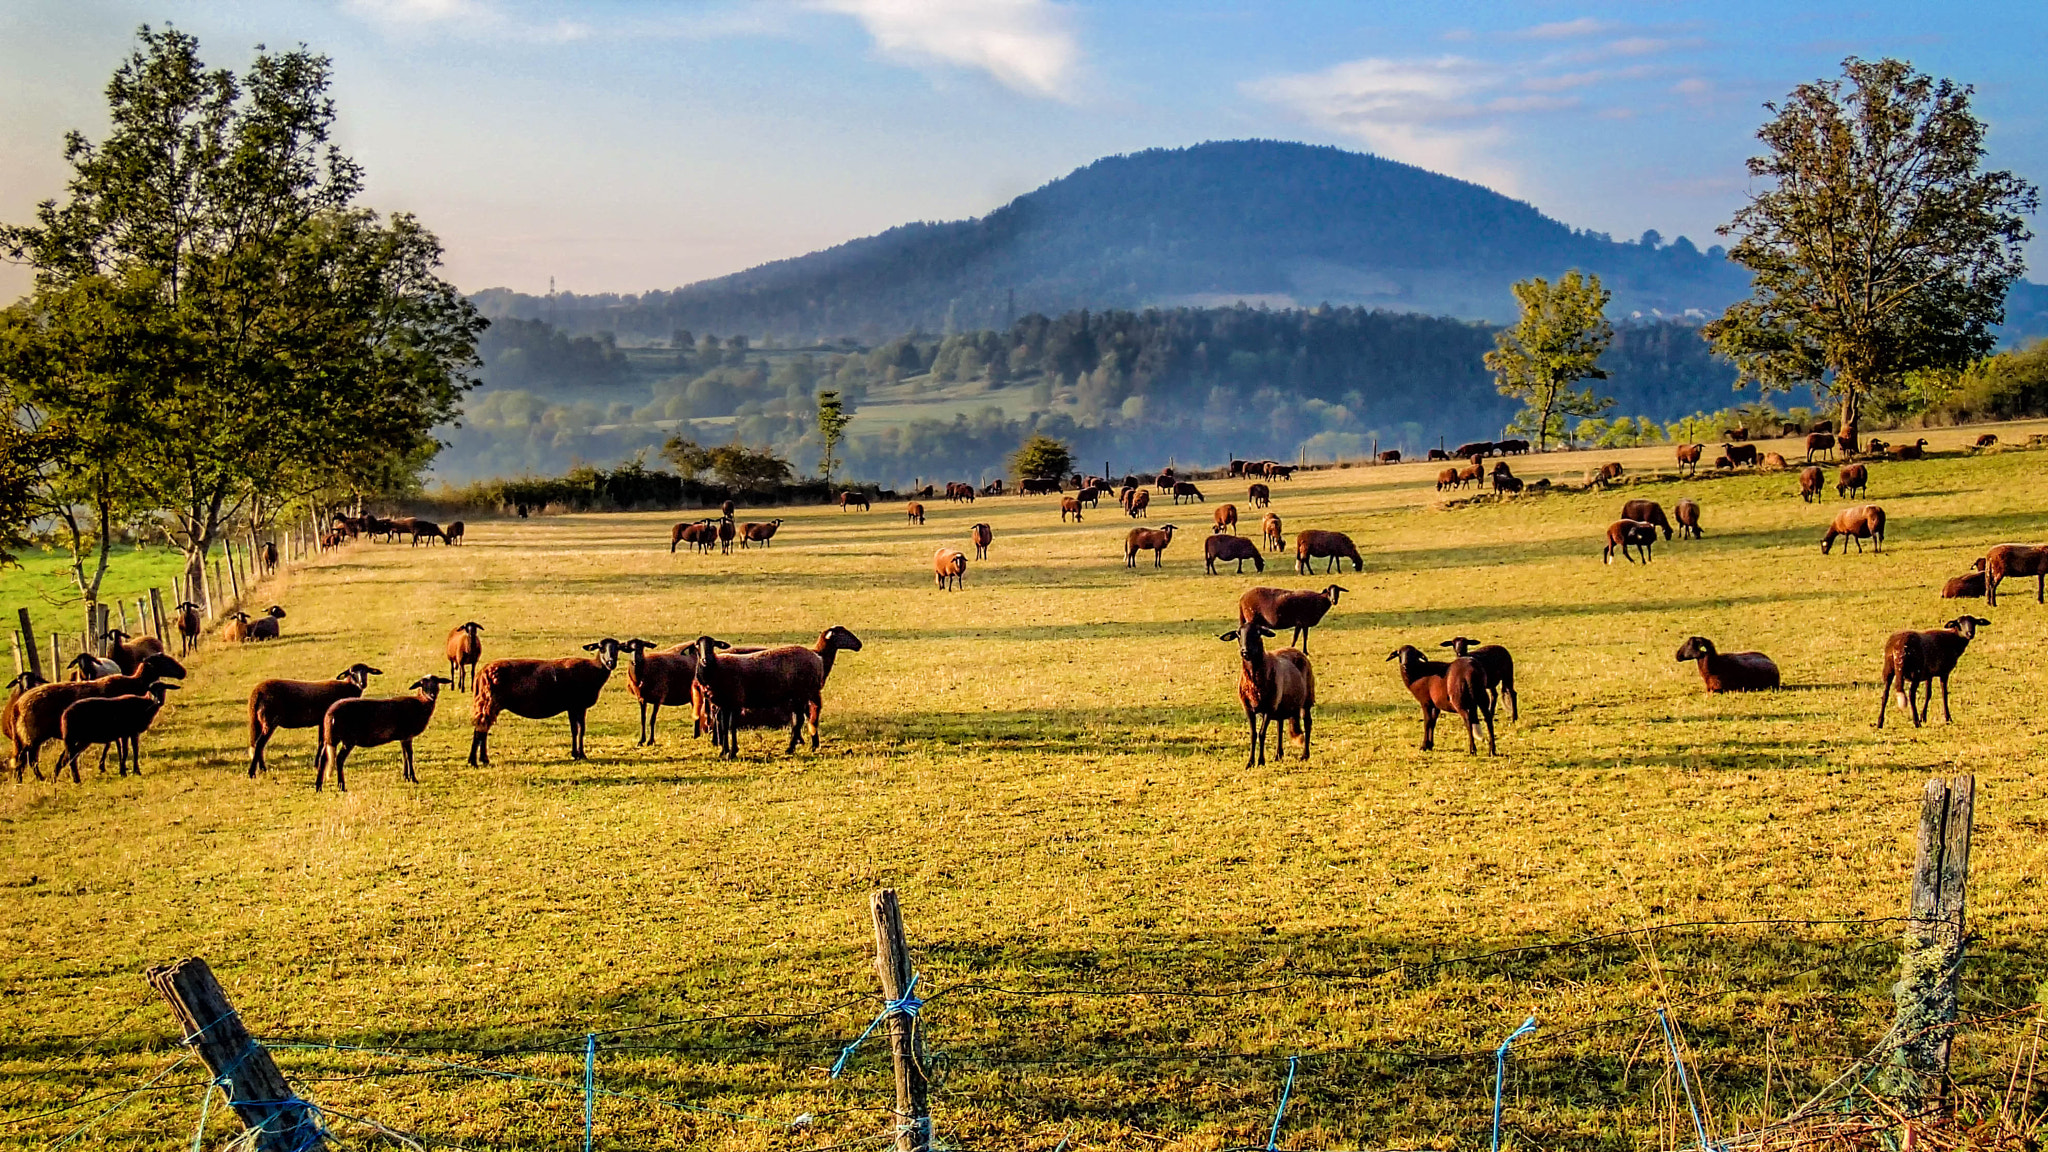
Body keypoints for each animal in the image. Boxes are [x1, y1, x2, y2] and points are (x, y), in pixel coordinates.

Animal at [246, 660, 380, 774]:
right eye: (352, 673)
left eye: (366, 671)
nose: (363, 683)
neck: (347, 687)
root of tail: (256, 693)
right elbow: (323, 742)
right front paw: (319, 764)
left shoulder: (321, 721)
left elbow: (321, 742)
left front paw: (316, 764)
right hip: (270, 720)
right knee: (260, 744)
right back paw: (253, 772)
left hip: (258, 720)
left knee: (258, 743)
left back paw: (262, 769)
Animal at [315, 672, 452, 787]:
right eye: (423, 684)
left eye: (437, 682)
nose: (432, 695)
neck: (420, 704)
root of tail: (330, 713)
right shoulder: (408, 735)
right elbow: (409, 756)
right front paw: (413, 778)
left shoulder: (403, 737)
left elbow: (404, 756)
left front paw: (406, 777)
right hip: (348, 739)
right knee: (339, 759)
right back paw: (341, 786)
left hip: (330, 737)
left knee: (323, 760)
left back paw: (319, 787)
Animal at [466, 635, 618, 762]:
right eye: (601, 648)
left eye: (617, 648)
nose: (611, 662)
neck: (594, 670)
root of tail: (481, 674)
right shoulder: (577, 705)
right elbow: (579, 729)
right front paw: (580, 755)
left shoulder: (572, 707)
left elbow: (575, 730)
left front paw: (576, 754)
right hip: (488, 701)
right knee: (481, 729)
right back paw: (474, 761)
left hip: (487, 702)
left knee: (483, 729)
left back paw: (483, 759)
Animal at [1212, 619, 1310, 762]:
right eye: (1238, 634)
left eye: (1258, 632)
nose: (1245, 651)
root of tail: (1295, 649)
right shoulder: (1248, 708)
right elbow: (1253, 734)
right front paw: (1250, 762)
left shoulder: (1268, 707)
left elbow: (1262, 733)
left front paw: (1260, 761)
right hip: (1280, 705)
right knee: (1280, 725)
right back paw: (1278, 755)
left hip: (1307, 699)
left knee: (1308, 723)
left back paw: (1305, 754)